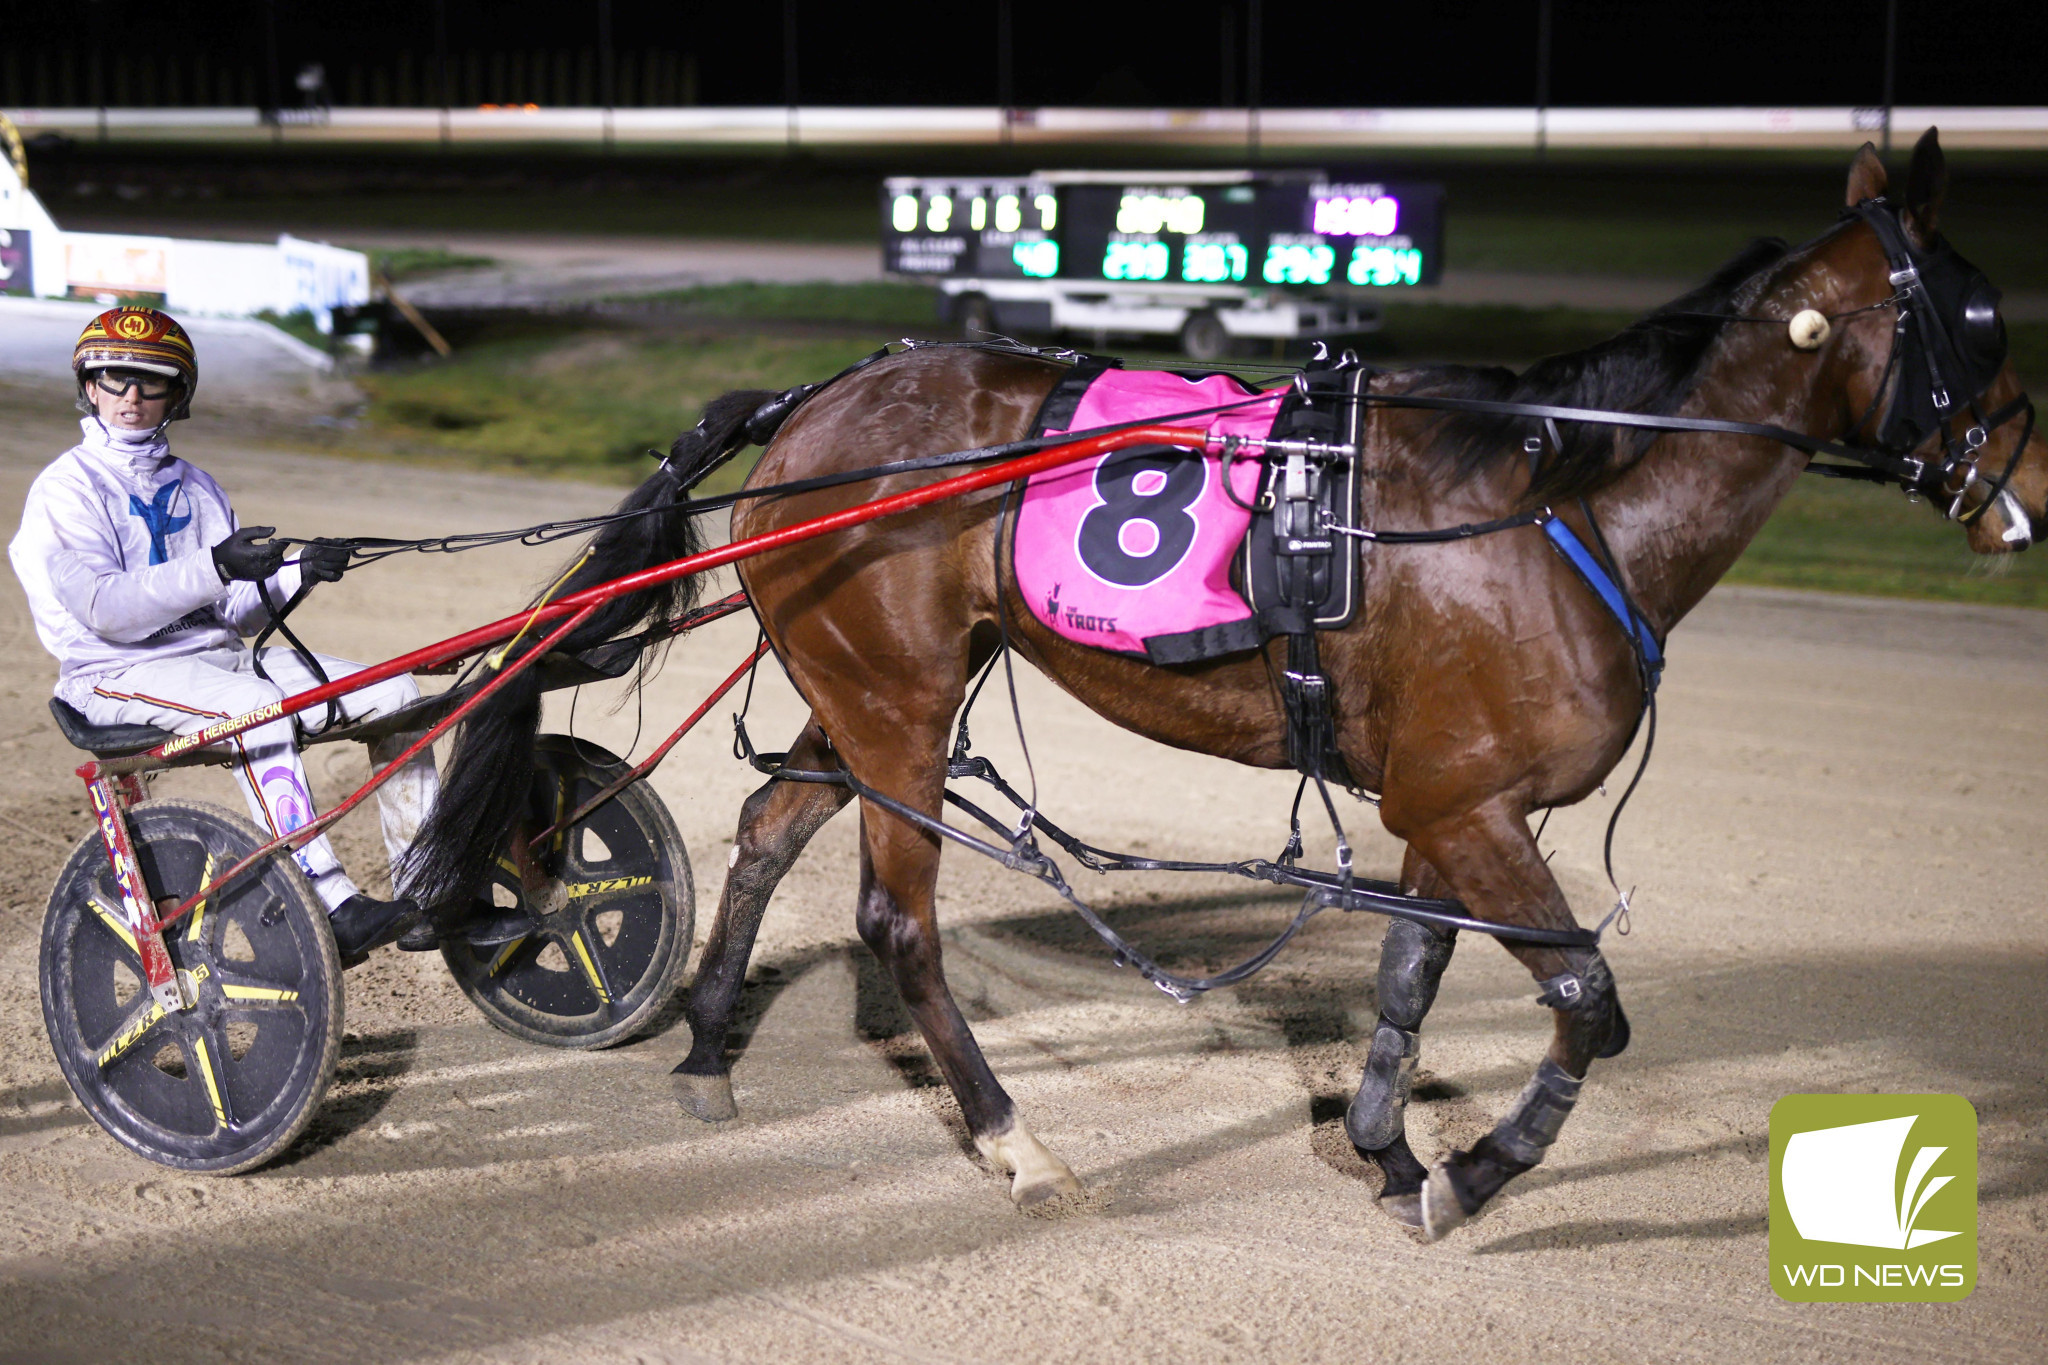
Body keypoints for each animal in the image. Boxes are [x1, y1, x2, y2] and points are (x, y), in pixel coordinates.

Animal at [404, 131, 2045, 1241]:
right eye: (1978, 317)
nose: (2018, 495)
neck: (1554, 507)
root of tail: (818, 394)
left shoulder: (1451, 803)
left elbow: (1412, 973)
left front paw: (1386, 1146)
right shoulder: (1477, 803)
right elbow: (1587, 997)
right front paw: (1471, 1172)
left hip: (876, 690)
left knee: (763, 833)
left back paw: (702, 1047)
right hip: (900, 705)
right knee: (892, 920)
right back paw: (1014, 1142)